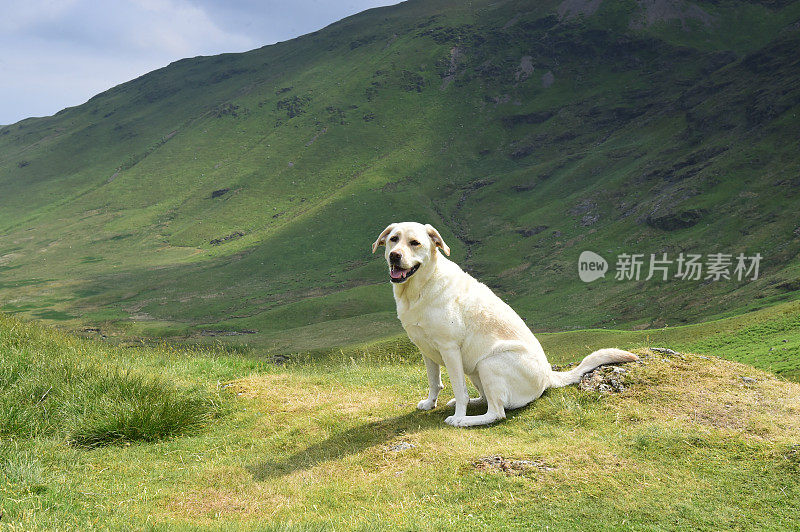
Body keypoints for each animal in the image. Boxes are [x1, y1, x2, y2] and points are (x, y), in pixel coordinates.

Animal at [372, 221, 640, 428]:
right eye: (394, 239)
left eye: (415, 243)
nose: (395, 255)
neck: (419, 289)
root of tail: (548, 377)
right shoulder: (425, 349)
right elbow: (434, 381)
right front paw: (430, 403)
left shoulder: (449, 349)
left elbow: (458, 388)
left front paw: (458, 414)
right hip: (475, 368)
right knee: (485, 399)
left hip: (489, 363)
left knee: (496, 413)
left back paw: (464, 420)